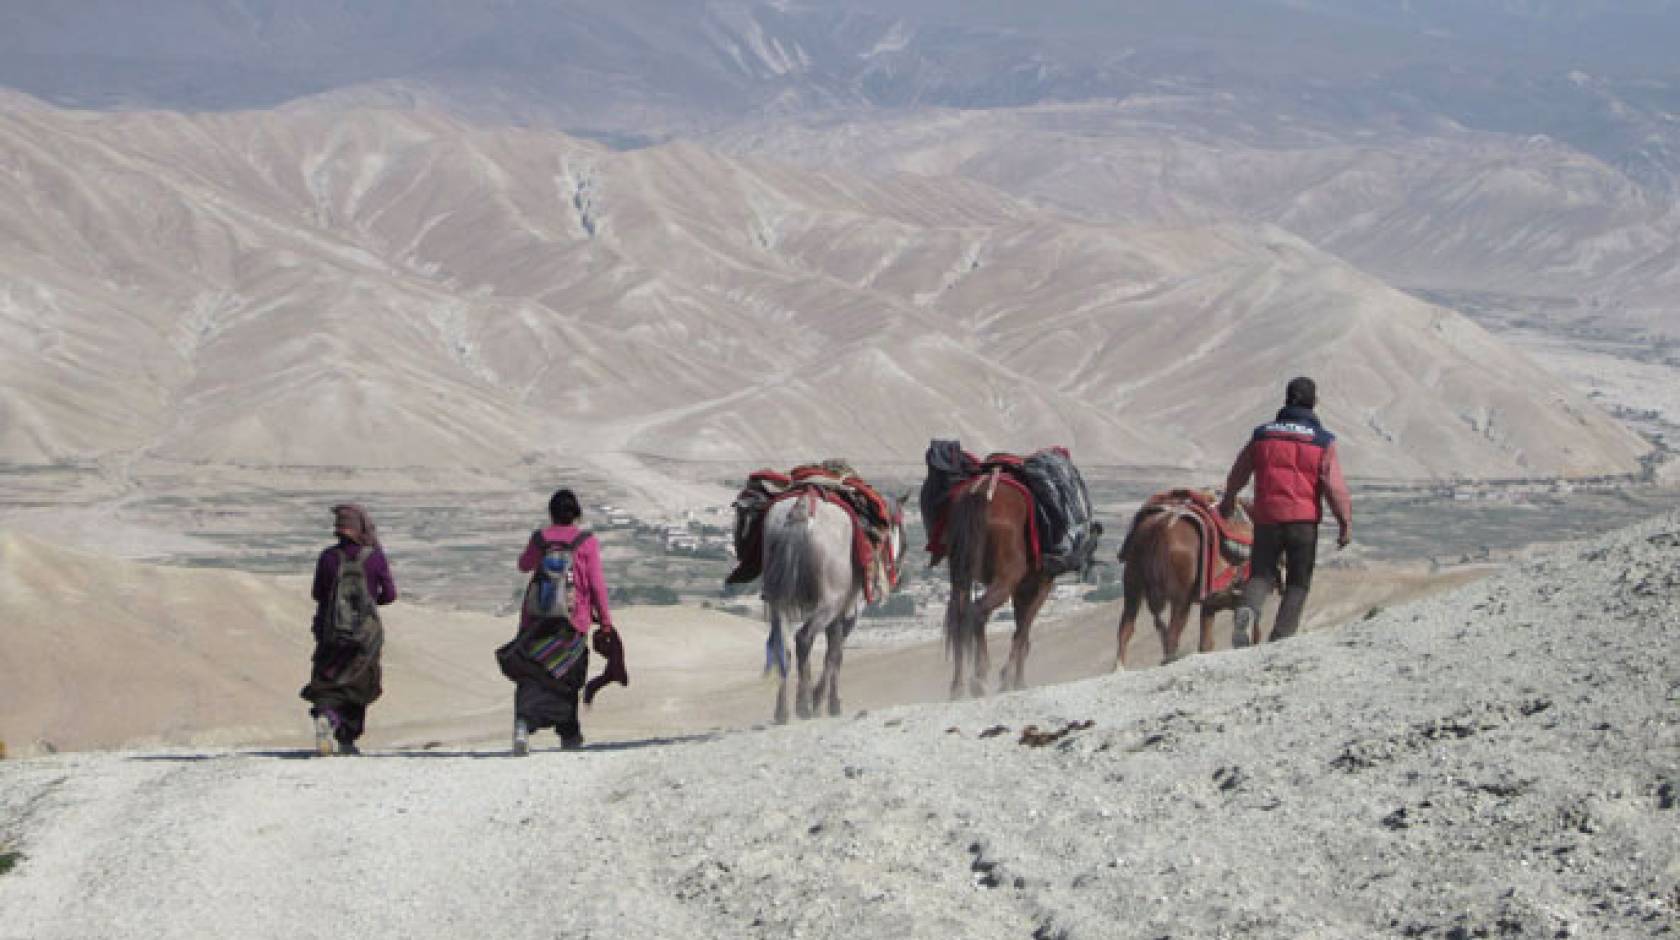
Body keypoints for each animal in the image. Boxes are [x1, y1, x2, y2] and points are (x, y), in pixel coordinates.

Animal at [762, 486, 907, 721]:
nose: (899, 576)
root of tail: (801, 509)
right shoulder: (848, 612)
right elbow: (835, 655)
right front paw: (827, 702)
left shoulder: (837, 616)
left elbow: (833, 653)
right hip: (829, 604)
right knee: (804, 638)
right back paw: (804, 704)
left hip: (778, 603)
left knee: (781, 647)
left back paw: (782, 711)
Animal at [947, 476, 1048, 698]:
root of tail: (979, 493)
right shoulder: (1039, 585)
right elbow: (1023, 632)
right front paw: (1012, 680)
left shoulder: (1023, 589)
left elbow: (1022, 630)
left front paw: (1016, 680)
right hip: (1006, 579)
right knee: (977, 611)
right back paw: (980, 677)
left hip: (961, 576)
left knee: (959, 618)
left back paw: (958, 687)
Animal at [1115, 500, 1249, 668]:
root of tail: (1162, 523)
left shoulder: (1210, 605)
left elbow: (1206, 644)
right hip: (1181, 600)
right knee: (1172, 636)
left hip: (1133, 586)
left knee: (1126, 629)